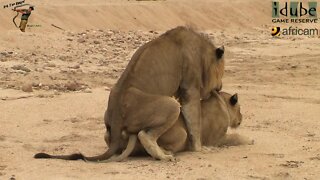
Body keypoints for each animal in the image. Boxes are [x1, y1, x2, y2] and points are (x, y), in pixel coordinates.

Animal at [34, 26, 225, 162]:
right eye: (222, 72)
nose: (221, 86)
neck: (201, 50)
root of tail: (117, 116)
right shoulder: (189, 89)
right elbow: (194, 123)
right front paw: (201, 149)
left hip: (110, 120)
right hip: (170, 105)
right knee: (144, 135)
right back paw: (164, 156)